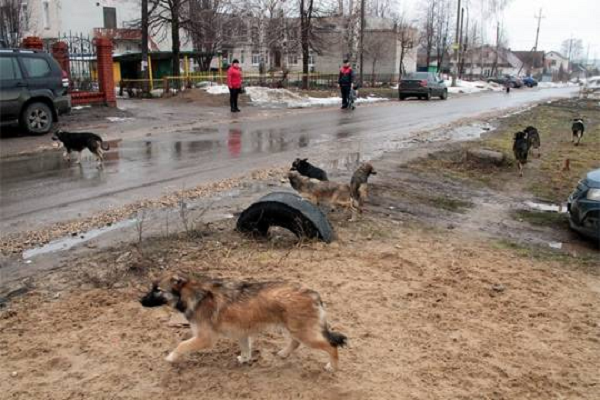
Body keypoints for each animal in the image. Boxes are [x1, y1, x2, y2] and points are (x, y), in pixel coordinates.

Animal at [141, 276, 346, 372]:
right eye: (151, 288)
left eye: (158, 290)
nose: (140, 301)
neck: (194, 295)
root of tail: (313, 293)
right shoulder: (242, 333)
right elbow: (246, 349)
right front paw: (245, 359)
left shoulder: (205, 338)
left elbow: (182, 345)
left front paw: (171, 357)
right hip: (293, 329)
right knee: (295, 343)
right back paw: (283, 353)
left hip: (305, 334)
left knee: (332, 346)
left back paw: (332, 367)